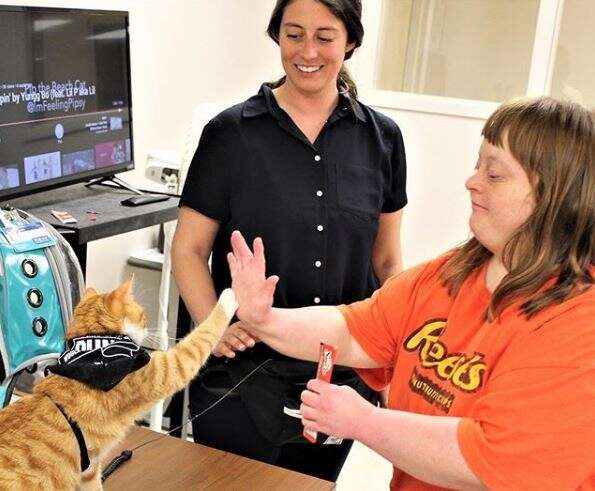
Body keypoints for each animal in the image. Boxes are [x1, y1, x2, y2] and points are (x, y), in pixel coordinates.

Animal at [0, 278, 236, 490]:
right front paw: (230, 297)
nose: (148, 327)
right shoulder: (172, 367)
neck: (95, 348)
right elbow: (203, 335)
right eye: (143, 314)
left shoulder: (89, 470)